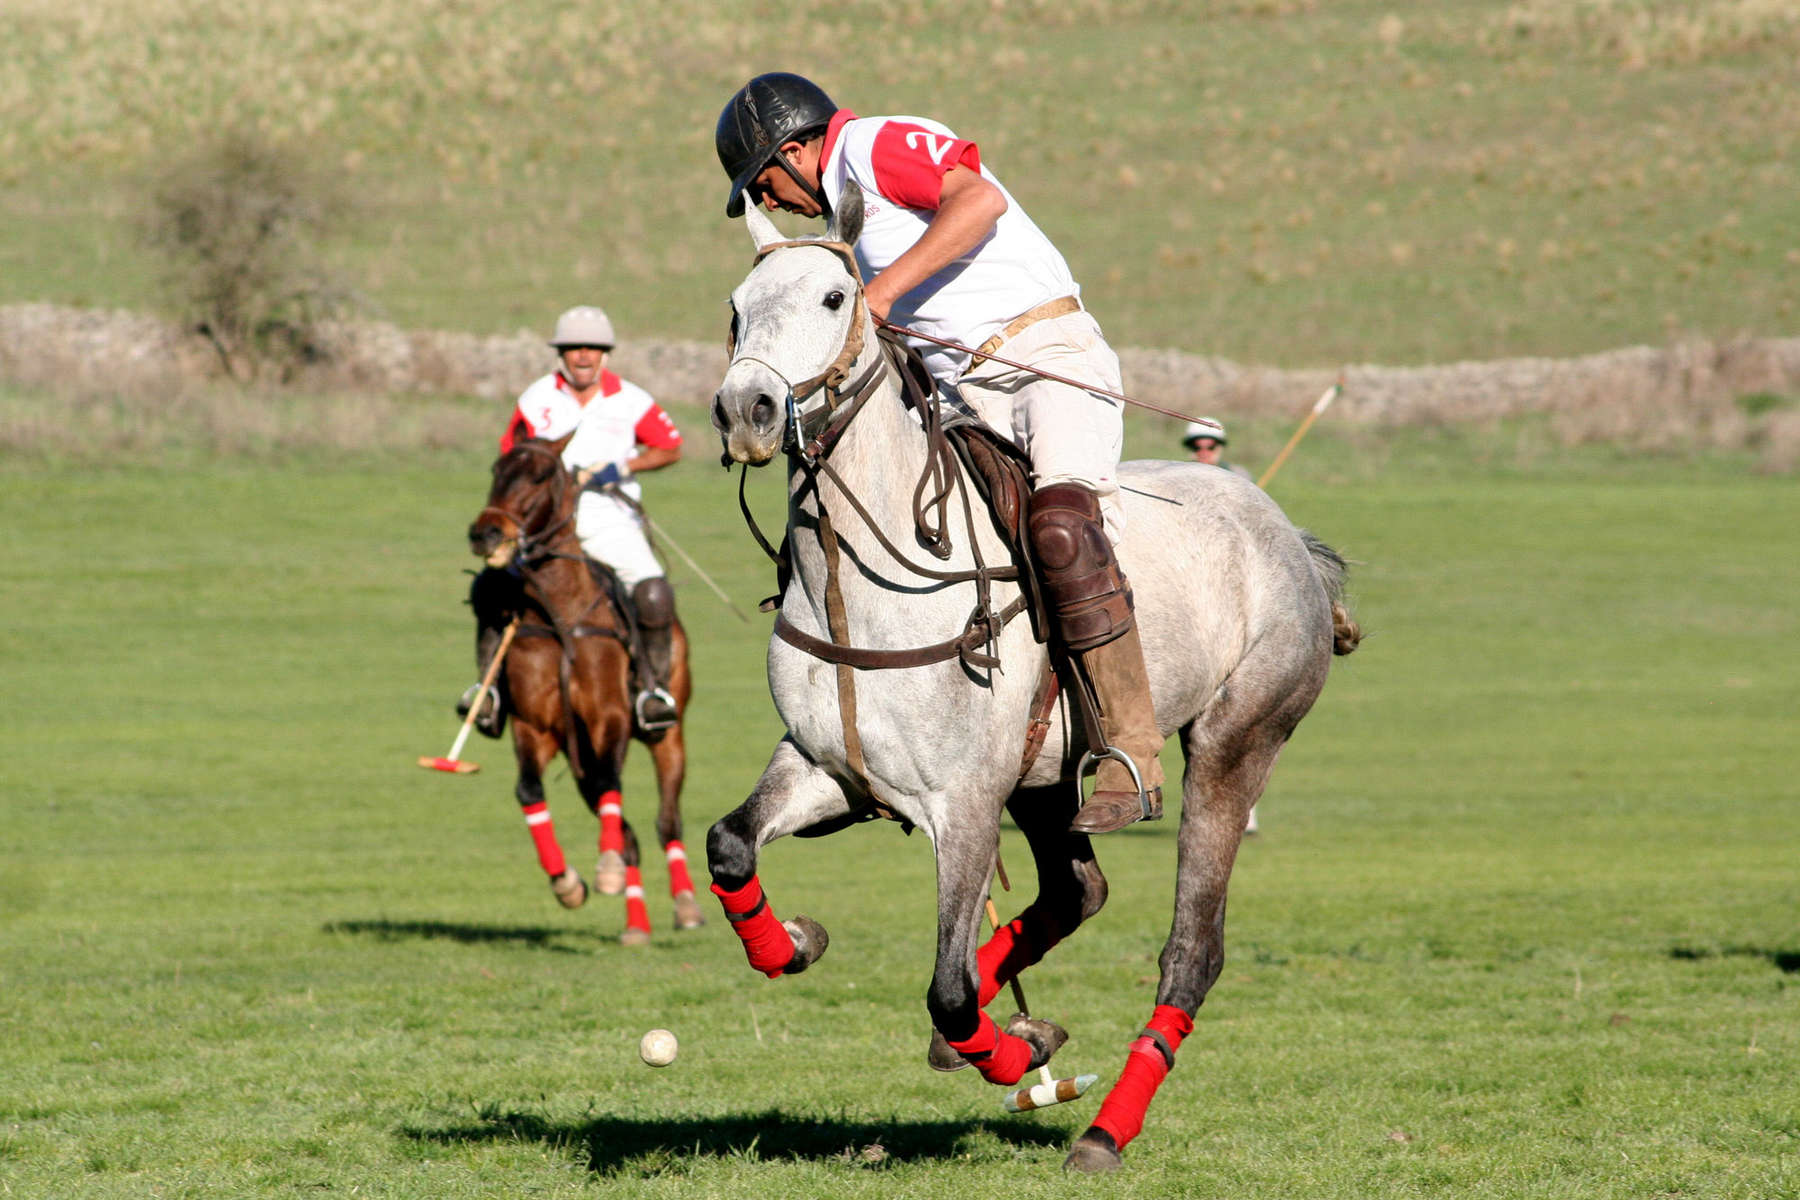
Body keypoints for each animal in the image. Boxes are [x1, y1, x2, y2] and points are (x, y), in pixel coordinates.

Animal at [464, 437, 702, 942]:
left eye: (538, 476)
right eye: (496, 469)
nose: (486, 534)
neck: (559, 611)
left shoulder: (607, 716)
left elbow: (615, 786)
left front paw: (606, 868)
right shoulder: (534, 725)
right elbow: (529, 791)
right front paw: (568, 884)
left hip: (667, 736)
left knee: (666, 820)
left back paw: (686, 904)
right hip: (579, 759)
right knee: (627, 829)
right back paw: (636, 924)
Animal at [709, 185, 1353, 1173]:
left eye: (834, 298)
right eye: (736, 310)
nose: (746, 410)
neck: (858, 579)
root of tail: (1284, 528)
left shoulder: (964, 801)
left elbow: (946, 989)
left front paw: (1014, 1056)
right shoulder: (831, 770)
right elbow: (730, 844)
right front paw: (796, 943)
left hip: (1237, 740)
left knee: (1190, 950)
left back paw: (1104, 1131)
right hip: (1049, 773)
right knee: (1077, 891)